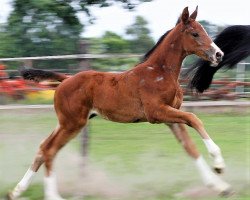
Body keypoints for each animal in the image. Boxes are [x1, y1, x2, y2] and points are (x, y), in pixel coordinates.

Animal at [7, 7, 232, 199]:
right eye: (195, 33)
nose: (218, 54)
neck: (160, 73)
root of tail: (65, 80)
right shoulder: (157, 113)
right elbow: (194, 118)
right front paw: (219, 164)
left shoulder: (171, 118)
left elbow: (190, 148)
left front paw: (220, 187)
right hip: (73, 123)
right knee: (49, 150)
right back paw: (52, 196)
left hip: (65, 122)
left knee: (42, 148)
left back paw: (16, 191)